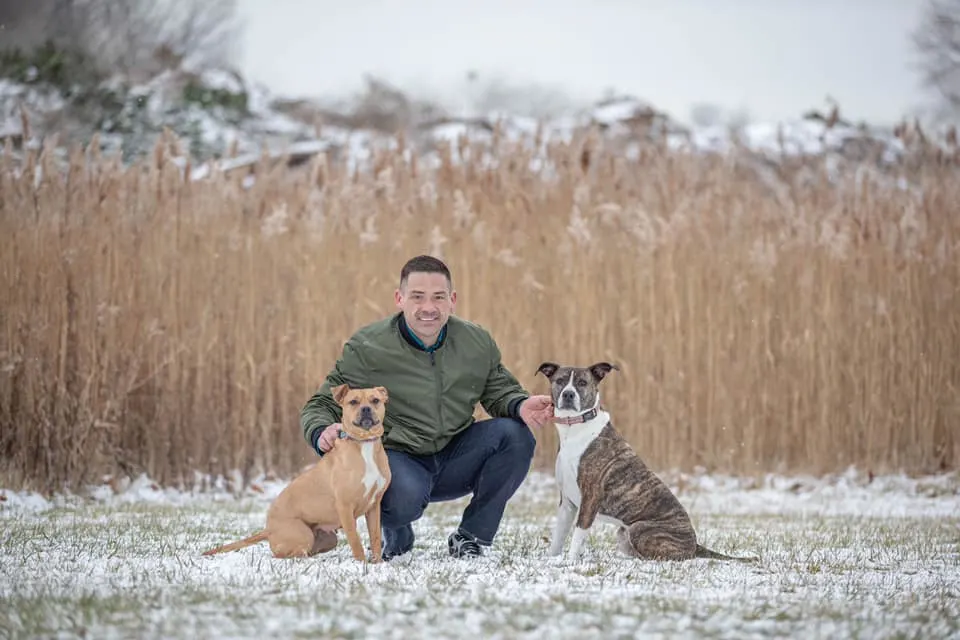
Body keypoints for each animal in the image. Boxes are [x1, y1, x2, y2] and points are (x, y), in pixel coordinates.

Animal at [201, 384, 392, 560]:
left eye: (375, 400)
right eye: (353, 402)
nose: (366, 409)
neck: (364, 444)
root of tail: (268, 529)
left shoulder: (374, 506)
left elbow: (375, 538)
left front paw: (377, 563)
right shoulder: (344, 507)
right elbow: (355, 541)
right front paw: (362, 564)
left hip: (328, 538)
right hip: (303, 534)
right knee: (286, 554)